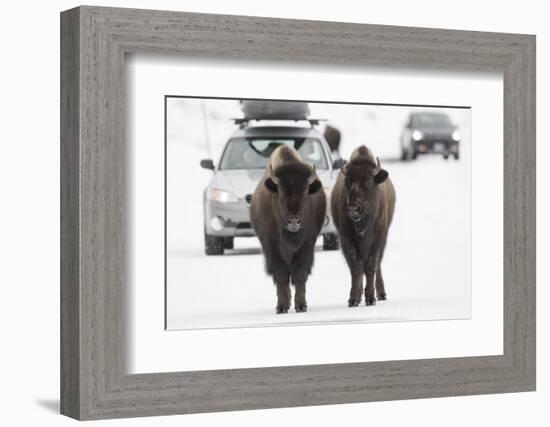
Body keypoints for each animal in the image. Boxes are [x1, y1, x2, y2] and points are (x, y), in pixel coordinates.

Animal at [251, 147, 328, 314]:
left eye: (305, 192)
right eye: (280, 192)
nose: (293, 221)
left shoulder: (307, 245)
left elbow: (299, 273)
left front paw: (301, 306)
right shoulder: (271, 247)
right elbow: (281, 275)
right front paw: (281, 306)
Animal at [332, 145, 396, 306]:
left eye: (368, 183)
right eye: (347, 183)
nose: (353, 209)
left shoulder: (378, 238)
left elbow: (371, 265)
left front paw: (370, 298)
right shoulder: (346, 238)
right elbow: (356, 266)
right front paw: (354, 298)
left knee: (377, 265)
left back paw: (381, 294)